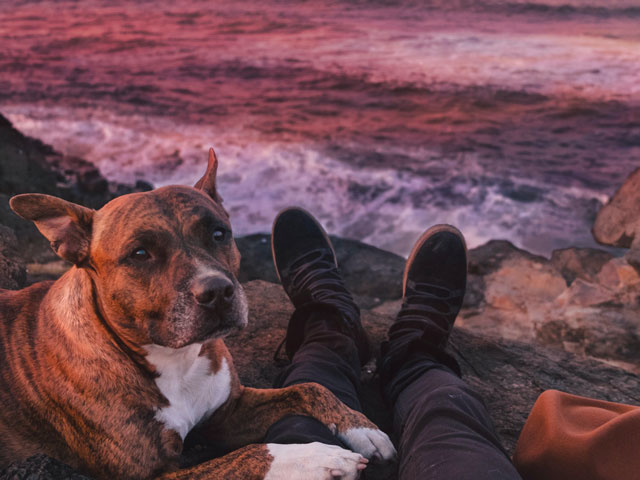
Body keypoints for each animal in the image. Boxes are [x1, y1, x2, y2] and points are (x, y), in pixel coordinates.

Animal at [0, 150, 396, 480]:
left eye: (219, 234)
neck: (174, 360)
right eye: (139, 253)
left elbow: (308, 388)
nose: (217, 292)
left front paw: (362, 428)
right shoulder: (152, 475)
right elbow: (250, 454)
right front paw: (315, 458)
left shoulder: (229, 412)